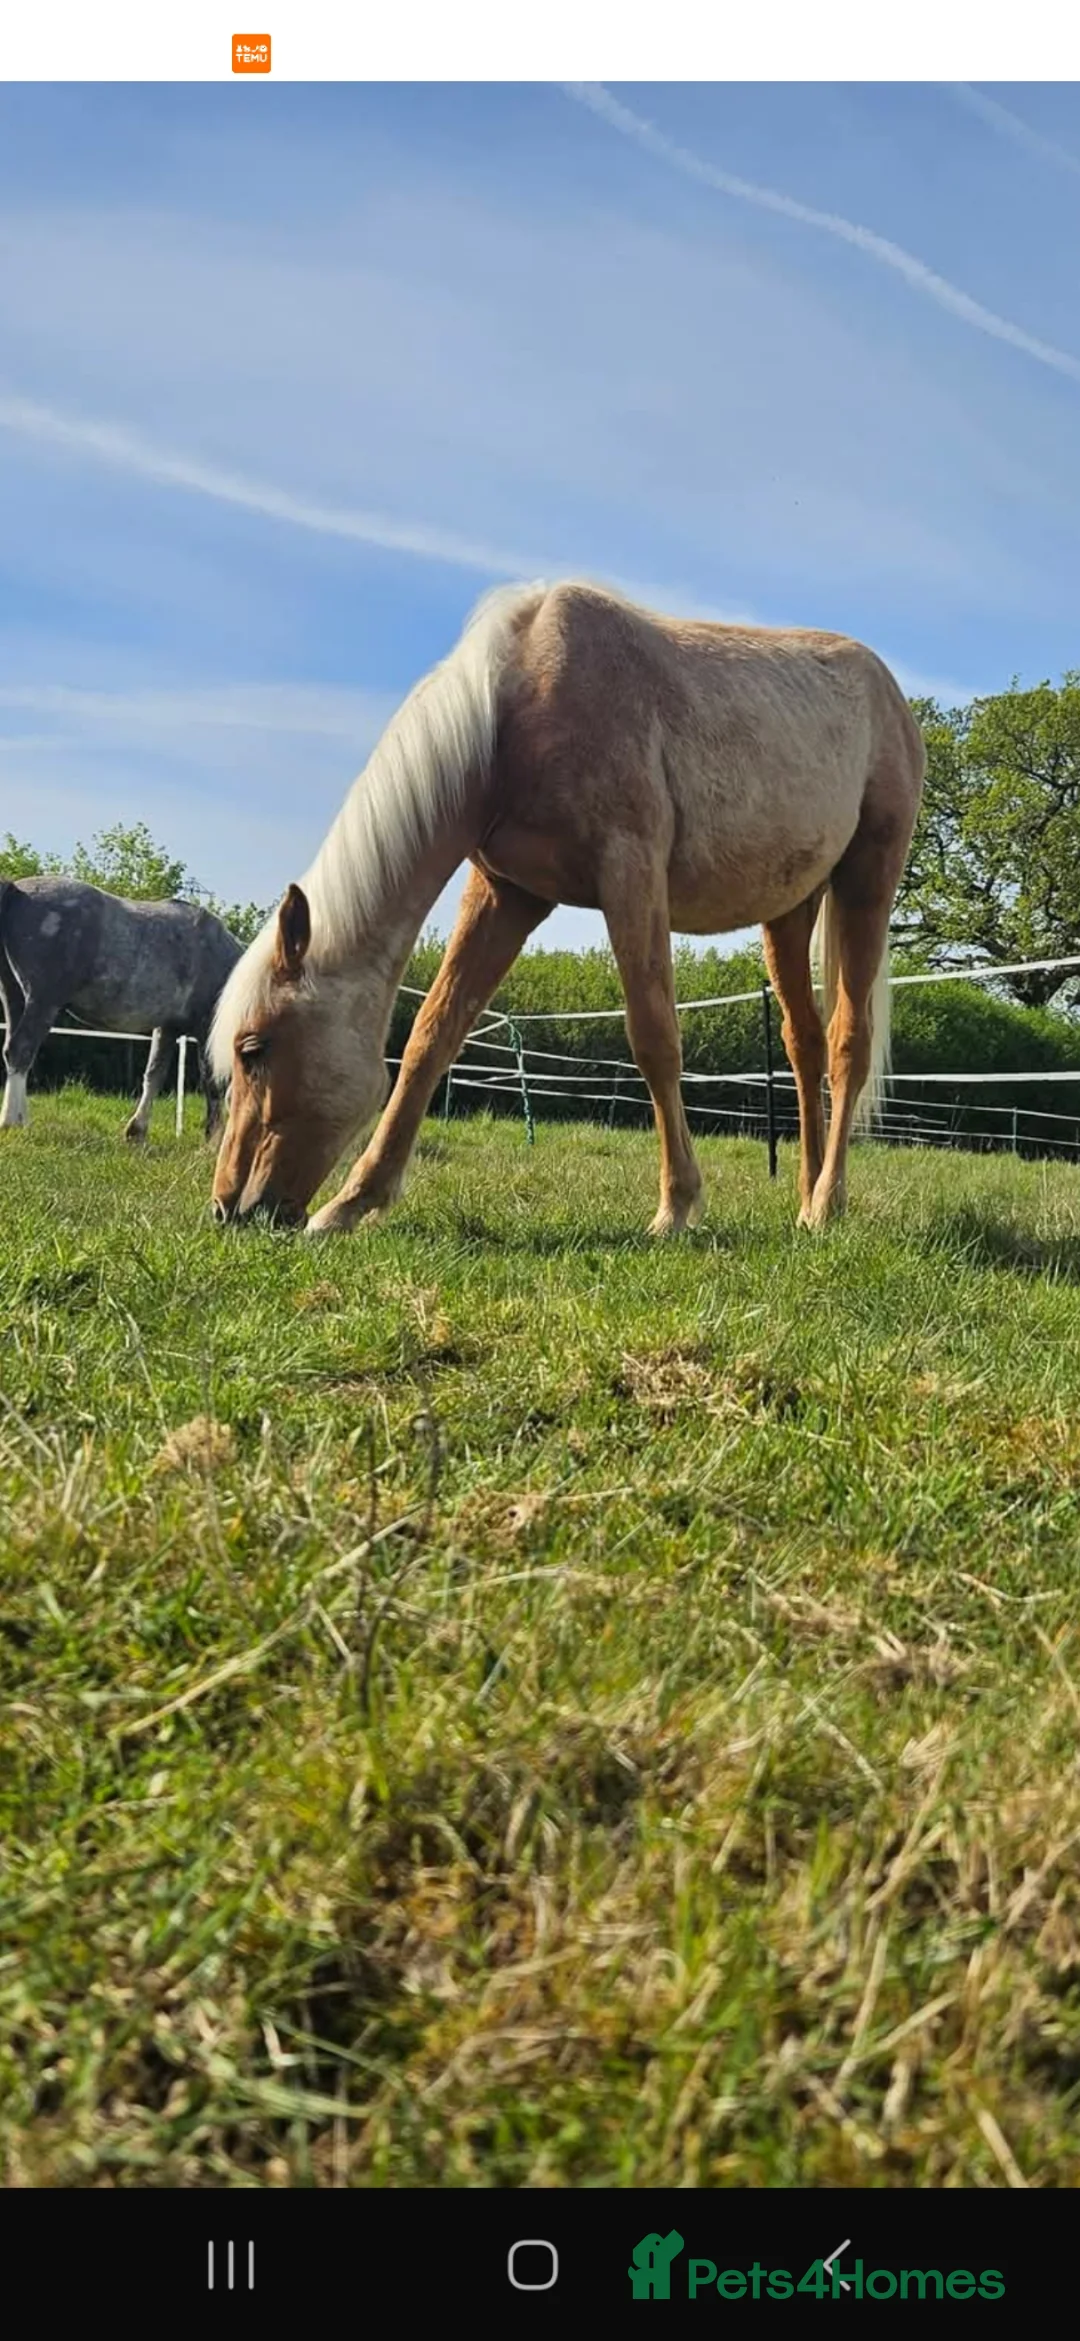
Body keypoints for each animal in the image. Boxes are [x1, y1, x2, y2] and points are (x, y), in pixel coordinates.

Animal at [0, 877, 242, 1140]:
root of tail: (16, 889)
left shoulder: (167, 1028)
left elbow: (154, 1075)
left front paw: (137, 1131)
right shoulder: (207, 1028)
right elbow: (212, 1081)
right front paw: (214, 1140)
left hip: (15, 997)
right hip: (42, 1002)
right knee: (21, 1049)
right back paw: (12, 1122)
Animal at [209, 580, 925, 1236]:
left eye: (254, 1048)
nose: (227, 1207)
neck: (510, 711)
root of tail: (889, 693)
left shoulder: (630, 874)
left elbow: (654, 1038)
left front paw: (677, 1207)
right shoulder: (506, 894)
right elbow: (432, 1038)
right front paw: (352, 1203)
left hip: (868, 879)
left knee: (849, 1041)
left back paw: (826, 1204)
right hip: (790, 908)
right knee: (804, 1045)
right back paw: (806, 1196)